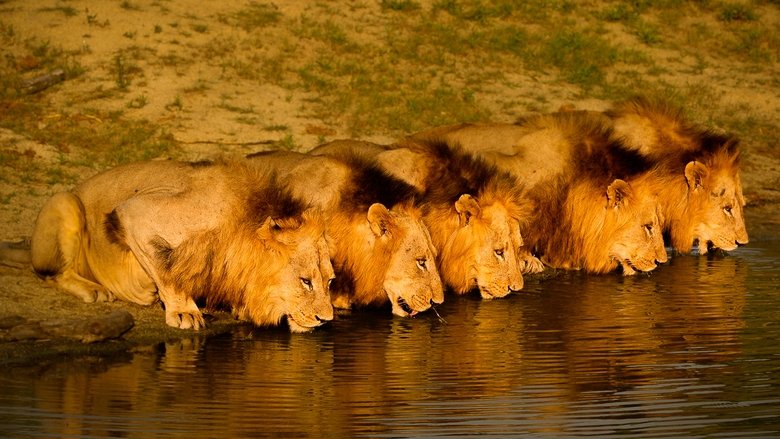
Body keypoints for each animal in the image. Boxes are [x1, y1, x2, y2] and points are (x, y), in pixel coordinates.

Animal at [30, 159, 335, 332]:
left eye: (330, 281)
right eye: (305, 281)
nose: (327, 320)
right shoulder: (135, 213)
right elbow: (167, 270)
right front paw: (183, 311)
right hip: (67, 202)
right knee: (52, 274)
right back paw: (95, 290)